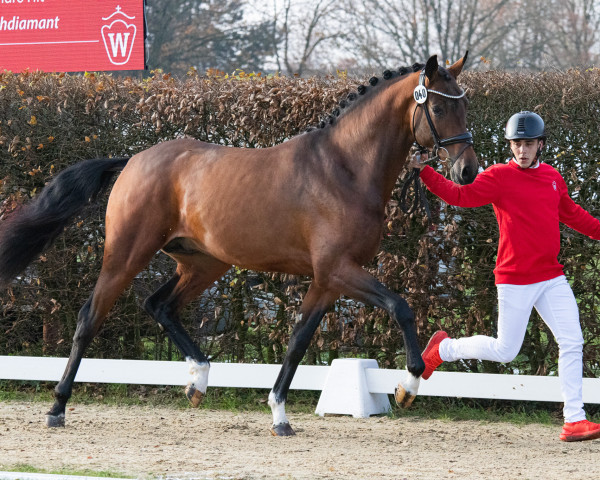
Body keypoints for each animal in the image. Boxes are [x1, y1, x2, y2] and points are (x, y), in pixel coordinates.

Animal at [0, 52, 478, 436]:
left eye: (466, 104)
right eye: (438, 106)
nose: (468, 171)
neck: (344, 168)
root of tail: (134, 159)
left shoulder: (328, 280)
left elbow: (298, 341)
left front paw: (280, 415)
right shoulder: (340, 270)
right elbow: (401, 307)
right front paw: (407, 385)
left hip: (205, 263)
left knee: (160, 305)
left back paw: (198, 380)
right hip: (126, 255)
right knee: (90, 317)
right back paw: (58, 408)